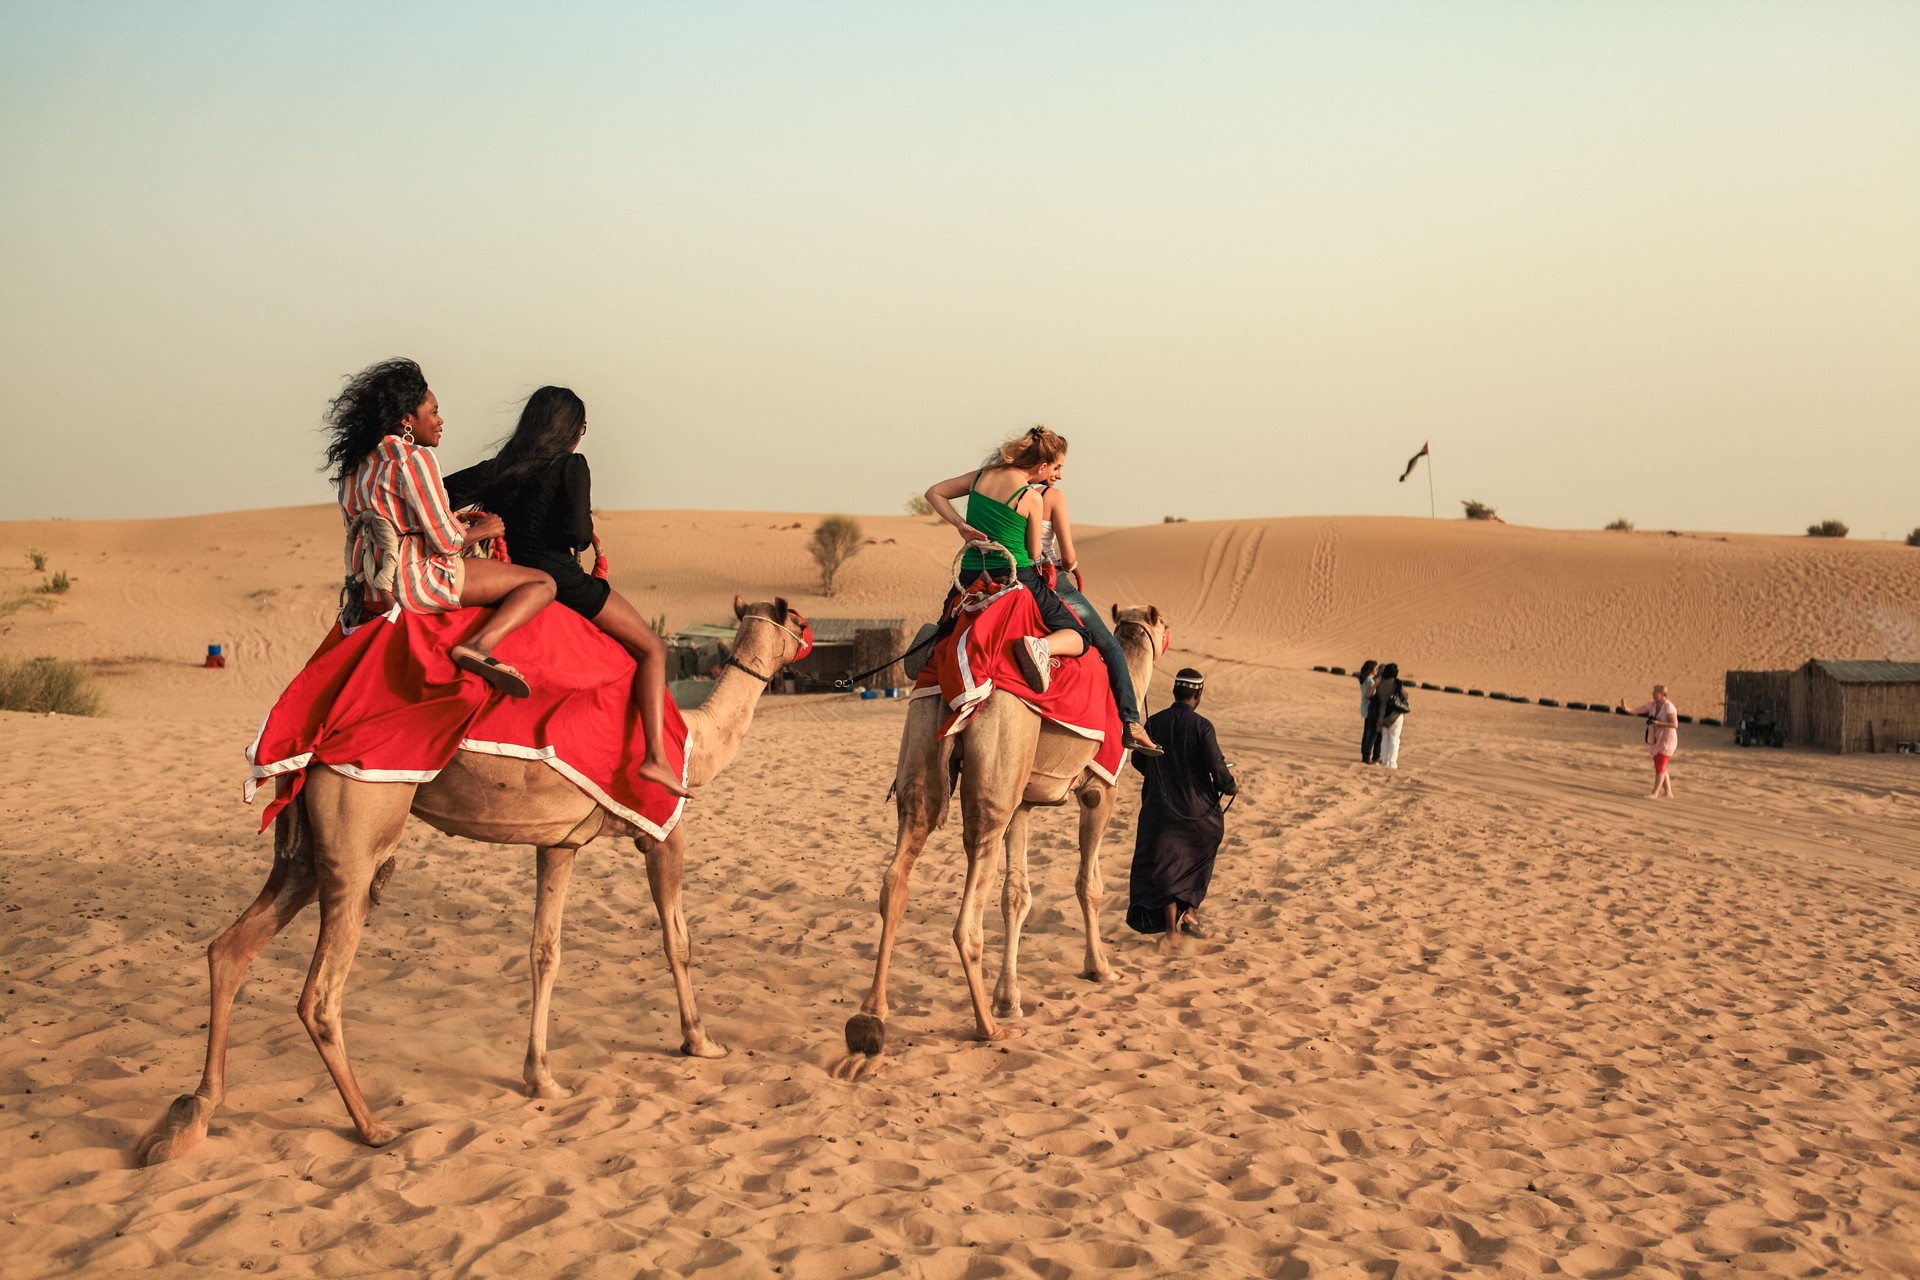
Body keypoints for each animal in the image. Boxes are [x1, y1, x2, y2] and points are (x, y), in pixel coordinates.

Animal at [137, 594, 810, 1166]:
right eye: (798, 618)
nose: (806, 644)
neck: (700, 740)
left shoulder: (559, 844)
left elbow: (545, 951)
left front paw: (542, 1077)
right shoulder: (665, 829)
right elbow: (678, 941)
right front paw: (701, 1042)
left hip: (302, 851)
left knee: (230, 948)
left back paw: (194, 1112)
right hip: (358, 830)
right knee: (320, 996)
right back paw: (373, 1127)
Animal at [837, 594, 1167, 1074]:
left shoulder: (1023, 804)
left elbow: (1017, 896)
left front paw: (1009, 998)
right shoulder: (1100, 789)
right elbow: (1088, 885)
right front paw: (1100, 968)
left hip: (925, 739)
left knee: (898, 873)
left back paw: (871, 1016)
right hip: (997, 765)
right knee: (966, 918)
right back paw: (988, 1029)